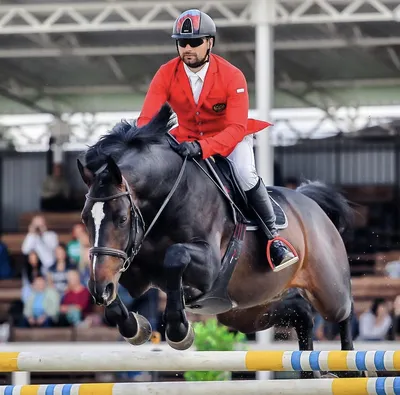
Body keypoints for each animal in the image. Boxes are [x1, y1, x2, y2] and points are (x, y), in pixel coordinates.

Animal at [78, 104, 362, 380]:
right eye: (85, 218)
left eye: (122, 218)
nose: (99, 291)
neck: (168, 200)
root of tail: (310, 202)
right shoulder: (132, 269)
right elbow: (116, 283)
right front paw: (134, 327)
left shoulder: (209, 267)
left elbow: (175, 256)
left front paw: (179, 331)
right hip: (247, 309)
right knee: (300, 311)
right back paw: (308, 373)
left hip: (327, 289)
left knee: (344, 310)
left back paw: (350, 368)